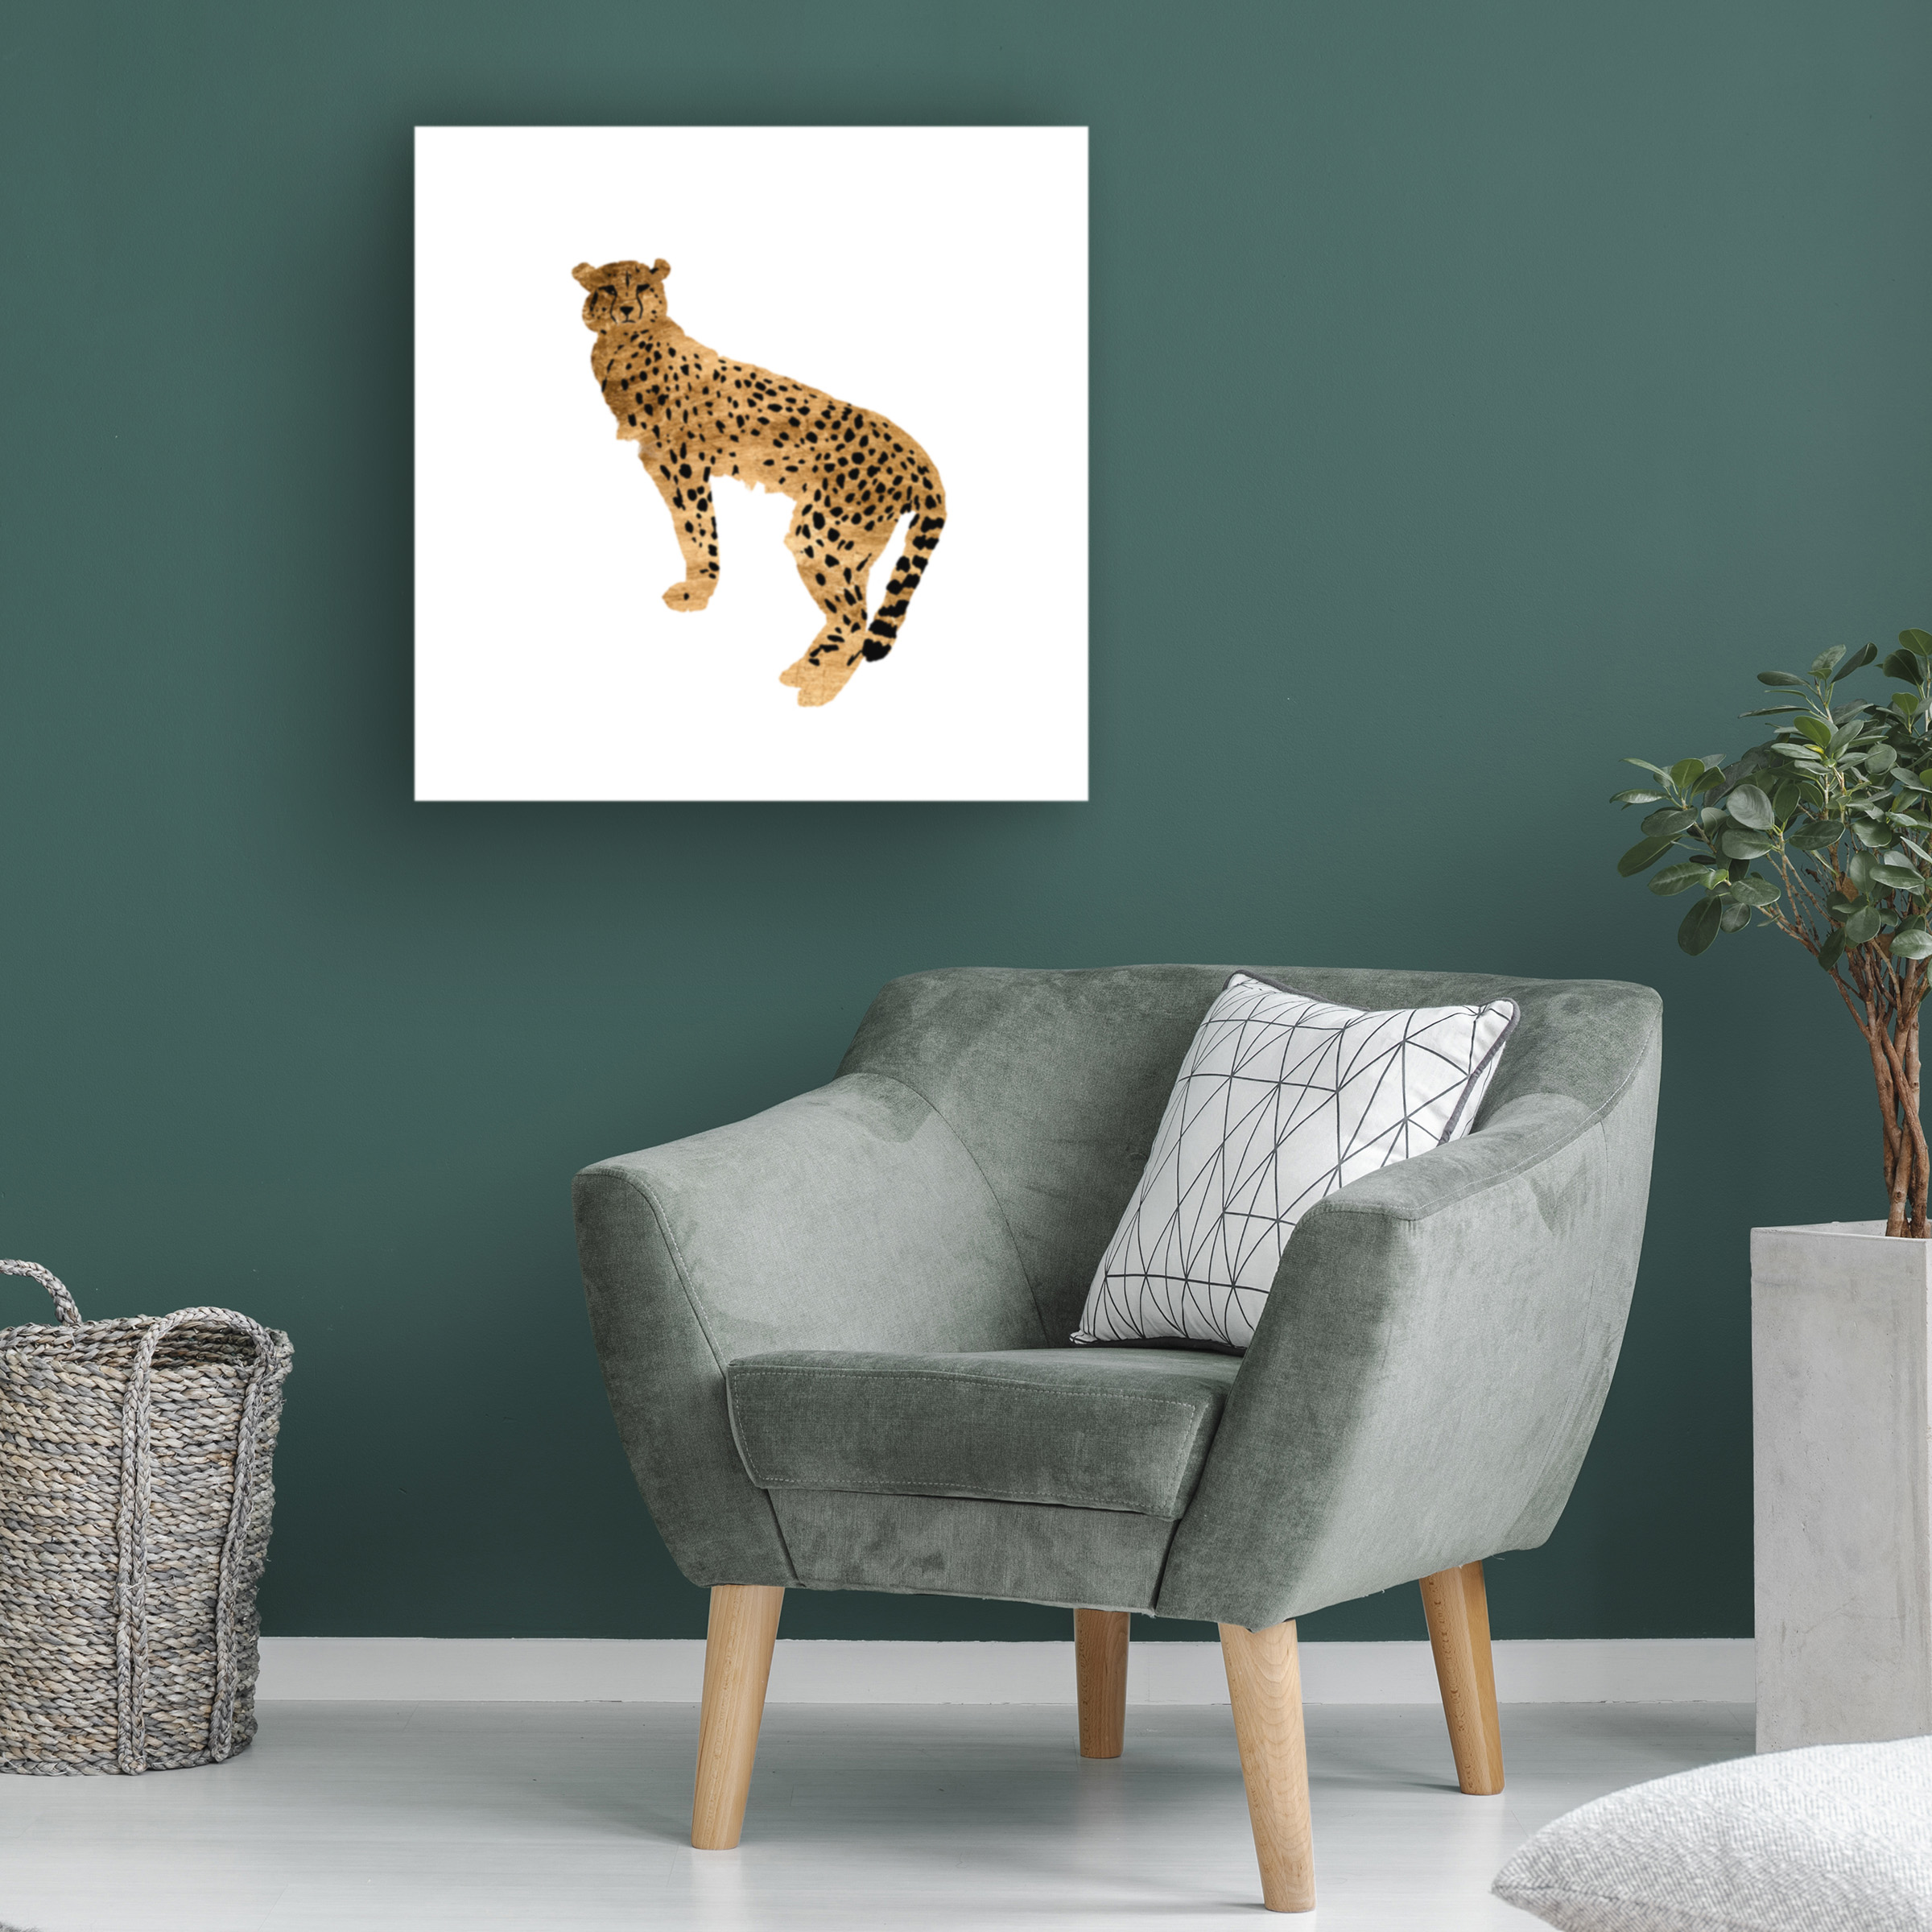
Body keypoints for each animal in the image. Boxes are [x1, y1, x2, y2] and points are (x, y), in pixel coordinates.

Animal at [573, 259, 946, 708]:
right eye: (609, 288)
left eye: (643, 287)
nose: (628, 308)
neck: (625, 344)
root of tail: (917, 453)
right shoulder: (666, 468)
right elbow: (688, 529)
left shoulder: (685, 467)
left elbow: (698, 530)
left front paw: (698, 591)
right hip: (854, 544)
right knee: (854, 611)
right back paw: (808, 670)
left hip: (823, 535)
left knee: (855, 621)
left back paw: (818, 688)